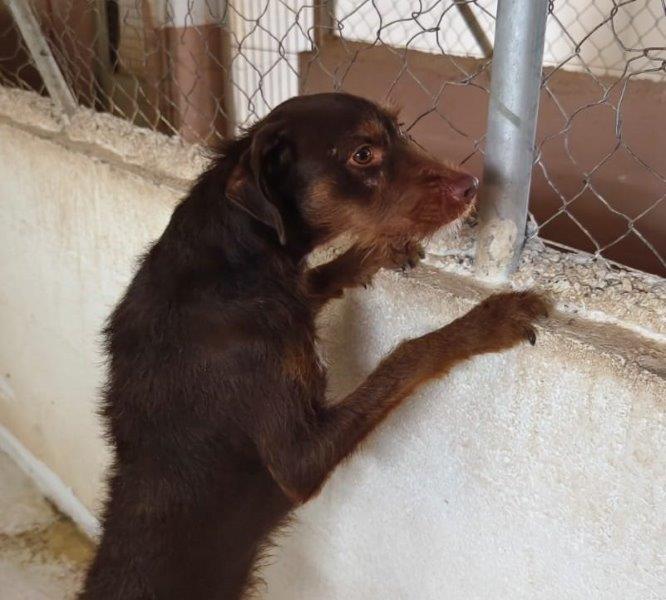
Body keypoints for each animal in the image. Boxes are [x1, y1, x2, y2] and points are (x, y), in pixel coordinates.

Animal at [80, 92, 548, 599]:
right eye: (362, 154)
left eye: (400, 131)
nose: (473, 185)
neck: (236, 256)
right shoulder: (296, 458)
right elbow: (407, 354)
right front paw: (490, 320)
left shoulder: (294, 289)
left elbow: (316, 279)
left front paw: (376, 251)